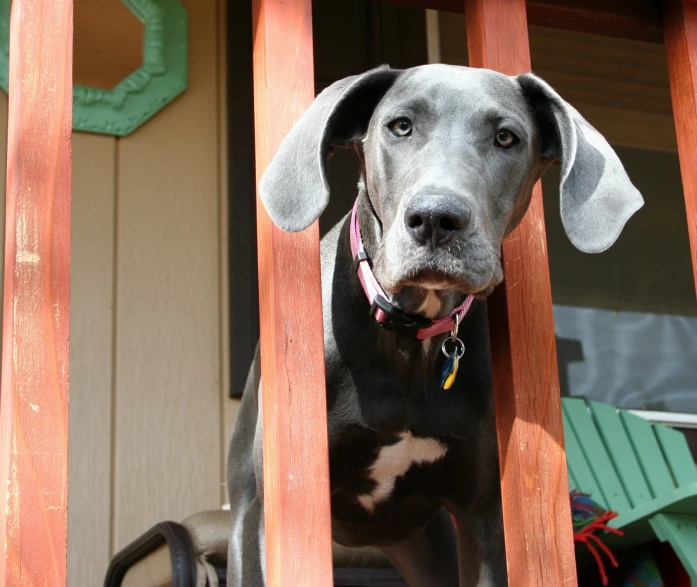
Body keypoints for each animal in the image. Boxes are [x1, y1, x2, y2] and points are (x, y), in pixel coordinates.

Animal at [226, 62, 644, 584]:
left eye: (506, 137)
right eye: (401, 126)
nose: (435, 219)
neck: (411, 336)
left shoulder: (483, 516)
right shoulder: (279, 511)